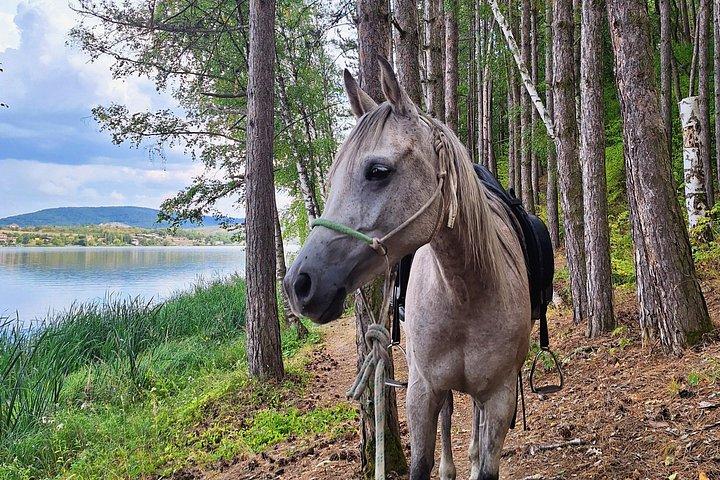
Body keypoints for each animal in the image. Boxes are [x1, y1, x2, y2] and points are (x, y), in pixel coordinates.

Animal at [284, 57, 531, 480]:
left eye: (378, 171)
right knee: (449, 416)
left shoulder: (501, 396)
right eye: (331, 178)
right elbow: (422, 462)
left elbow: (486, 460)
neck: (466, 291)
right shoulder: (421, 390)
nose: (298, 285)